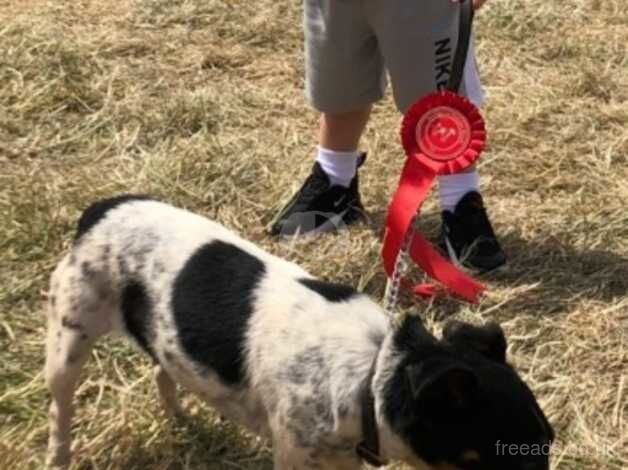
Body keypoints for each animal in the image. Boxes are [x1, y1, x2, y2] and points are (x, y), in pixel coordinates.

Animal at [45, 196, 556, 470]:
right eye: (520, 457)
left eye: (548, 444)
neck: (370, 378)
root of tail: (99, 210)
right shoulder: (295, 454)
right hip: (68, 343)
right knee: (60, 413)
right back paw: (59, 455)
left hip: (163, 338)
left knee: (163, 369)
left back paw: (182, 419)